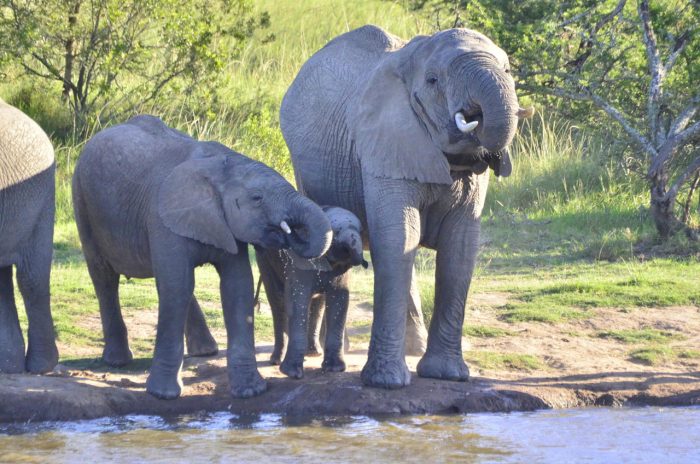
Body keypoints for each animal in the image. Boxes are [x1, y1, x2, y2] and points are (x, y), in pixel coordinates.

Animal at [72, 115, 332, 398]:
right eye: (257, 198)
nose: (290, 232)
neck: (223, 166)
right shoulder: (163, 217)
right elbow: (177, 286)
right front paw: (163, 394)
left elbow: (237, 286)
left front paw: (250, 391)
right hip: (82, 199)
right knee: (105, 276)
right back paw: (117, 360)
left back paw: (206, 351)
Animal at [256, 207, 366, 376]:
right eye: (336, 232)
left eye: (360, 230)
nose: (364, 262)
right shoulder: (300, 261)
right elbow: (297, 299)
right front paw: (292, 373)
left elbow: (340, 299)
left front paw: (335, 369)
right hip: (264, 260)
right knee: (278, 300)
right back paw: (276, 361)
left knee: (318, 302)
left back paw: (314, 353)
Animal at [278, 25, 532, 388]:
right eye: (433, 80)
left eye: (509, 70)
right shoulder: (384, 144)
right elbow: (398, 238)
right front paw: (385, 382)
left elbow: (459, 247)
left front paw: (447, 375)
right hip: (304, 168)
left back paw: (414, 347)